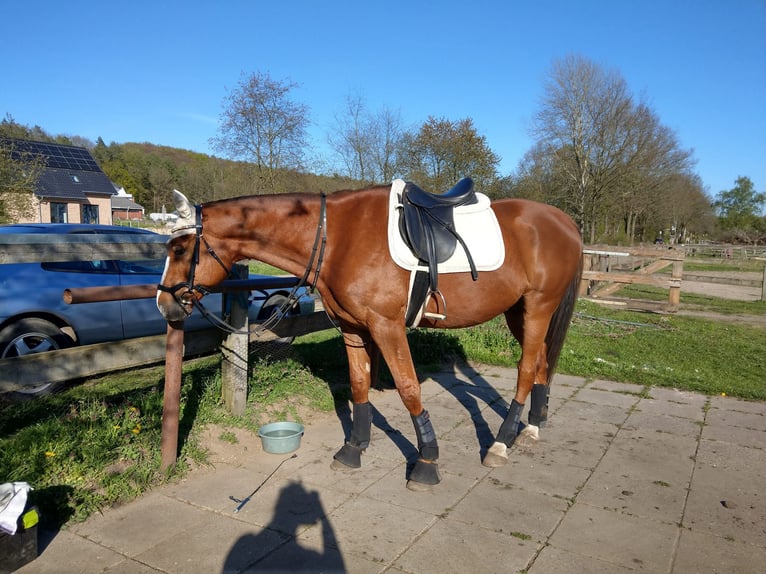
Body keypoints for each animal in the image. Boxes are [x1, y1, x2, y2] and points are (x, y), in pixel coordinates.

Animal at [159, 180, 584, 490]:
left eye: (179, 248)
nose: (165, 305)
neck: (335, 238)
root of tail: (564, 222)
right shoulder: (353, 328)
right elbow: (359, 384)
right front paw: (353, 449)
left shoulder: (386, 326)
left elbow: (409, 388)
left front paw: (427, 461)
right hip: (519, 312)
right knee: (541, 362)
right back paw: (532, 428)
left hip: (539, 307)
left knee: (526, 369)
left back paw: (500, 442)